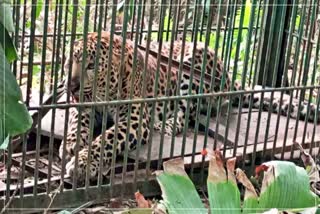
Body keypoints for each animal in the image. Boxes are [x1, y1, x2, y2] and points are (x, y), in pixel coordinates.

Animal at [60, 30, 320, 182]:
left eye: (91, 66)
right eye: (69, 59)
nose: (71, 86)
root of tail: (229, 78)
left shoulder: (134, 120)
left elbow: (107, 138)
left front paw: (83, 163)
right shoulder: (84, 107)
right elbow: (76, 123)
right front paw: (71, 145)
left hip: (192, 65)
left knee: (186, 112)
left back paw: (164, 126)